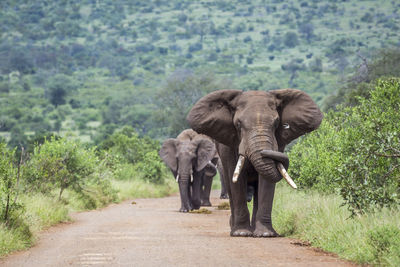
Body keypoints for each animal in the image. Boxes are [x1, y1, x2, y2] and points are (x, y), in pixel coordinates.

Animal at [187, 90, 322, 239]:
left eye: (276, 123)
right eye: (238, 124)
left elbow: (267, 181)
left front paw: (265, 234)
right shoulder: (229, 146)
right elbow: (237, 180)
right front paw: (241, 233)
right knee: (230, 186)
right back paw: (235, 228)